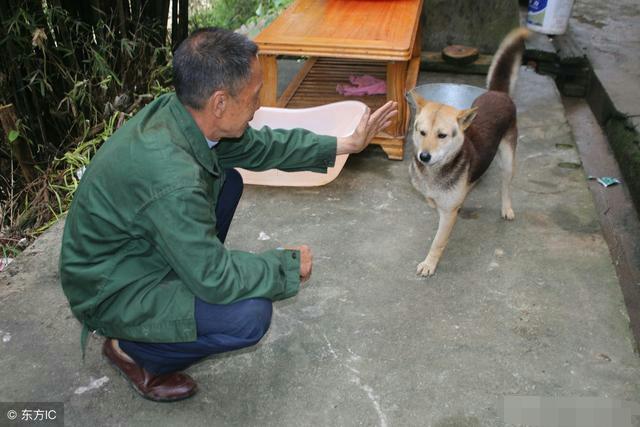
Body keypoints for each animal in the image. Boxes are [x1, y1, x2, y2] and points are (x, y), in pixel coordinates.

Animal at [410, 29, 528, 278]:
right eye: (421, 132)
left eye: (442, 135)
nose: (424, 156)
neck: (435, 172)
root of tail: (498, 92)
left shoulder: (447, 214)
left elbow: (438, 241)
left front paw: (429, 264)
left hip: (508, 158)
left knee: (506, 185)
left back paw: (506, 208)